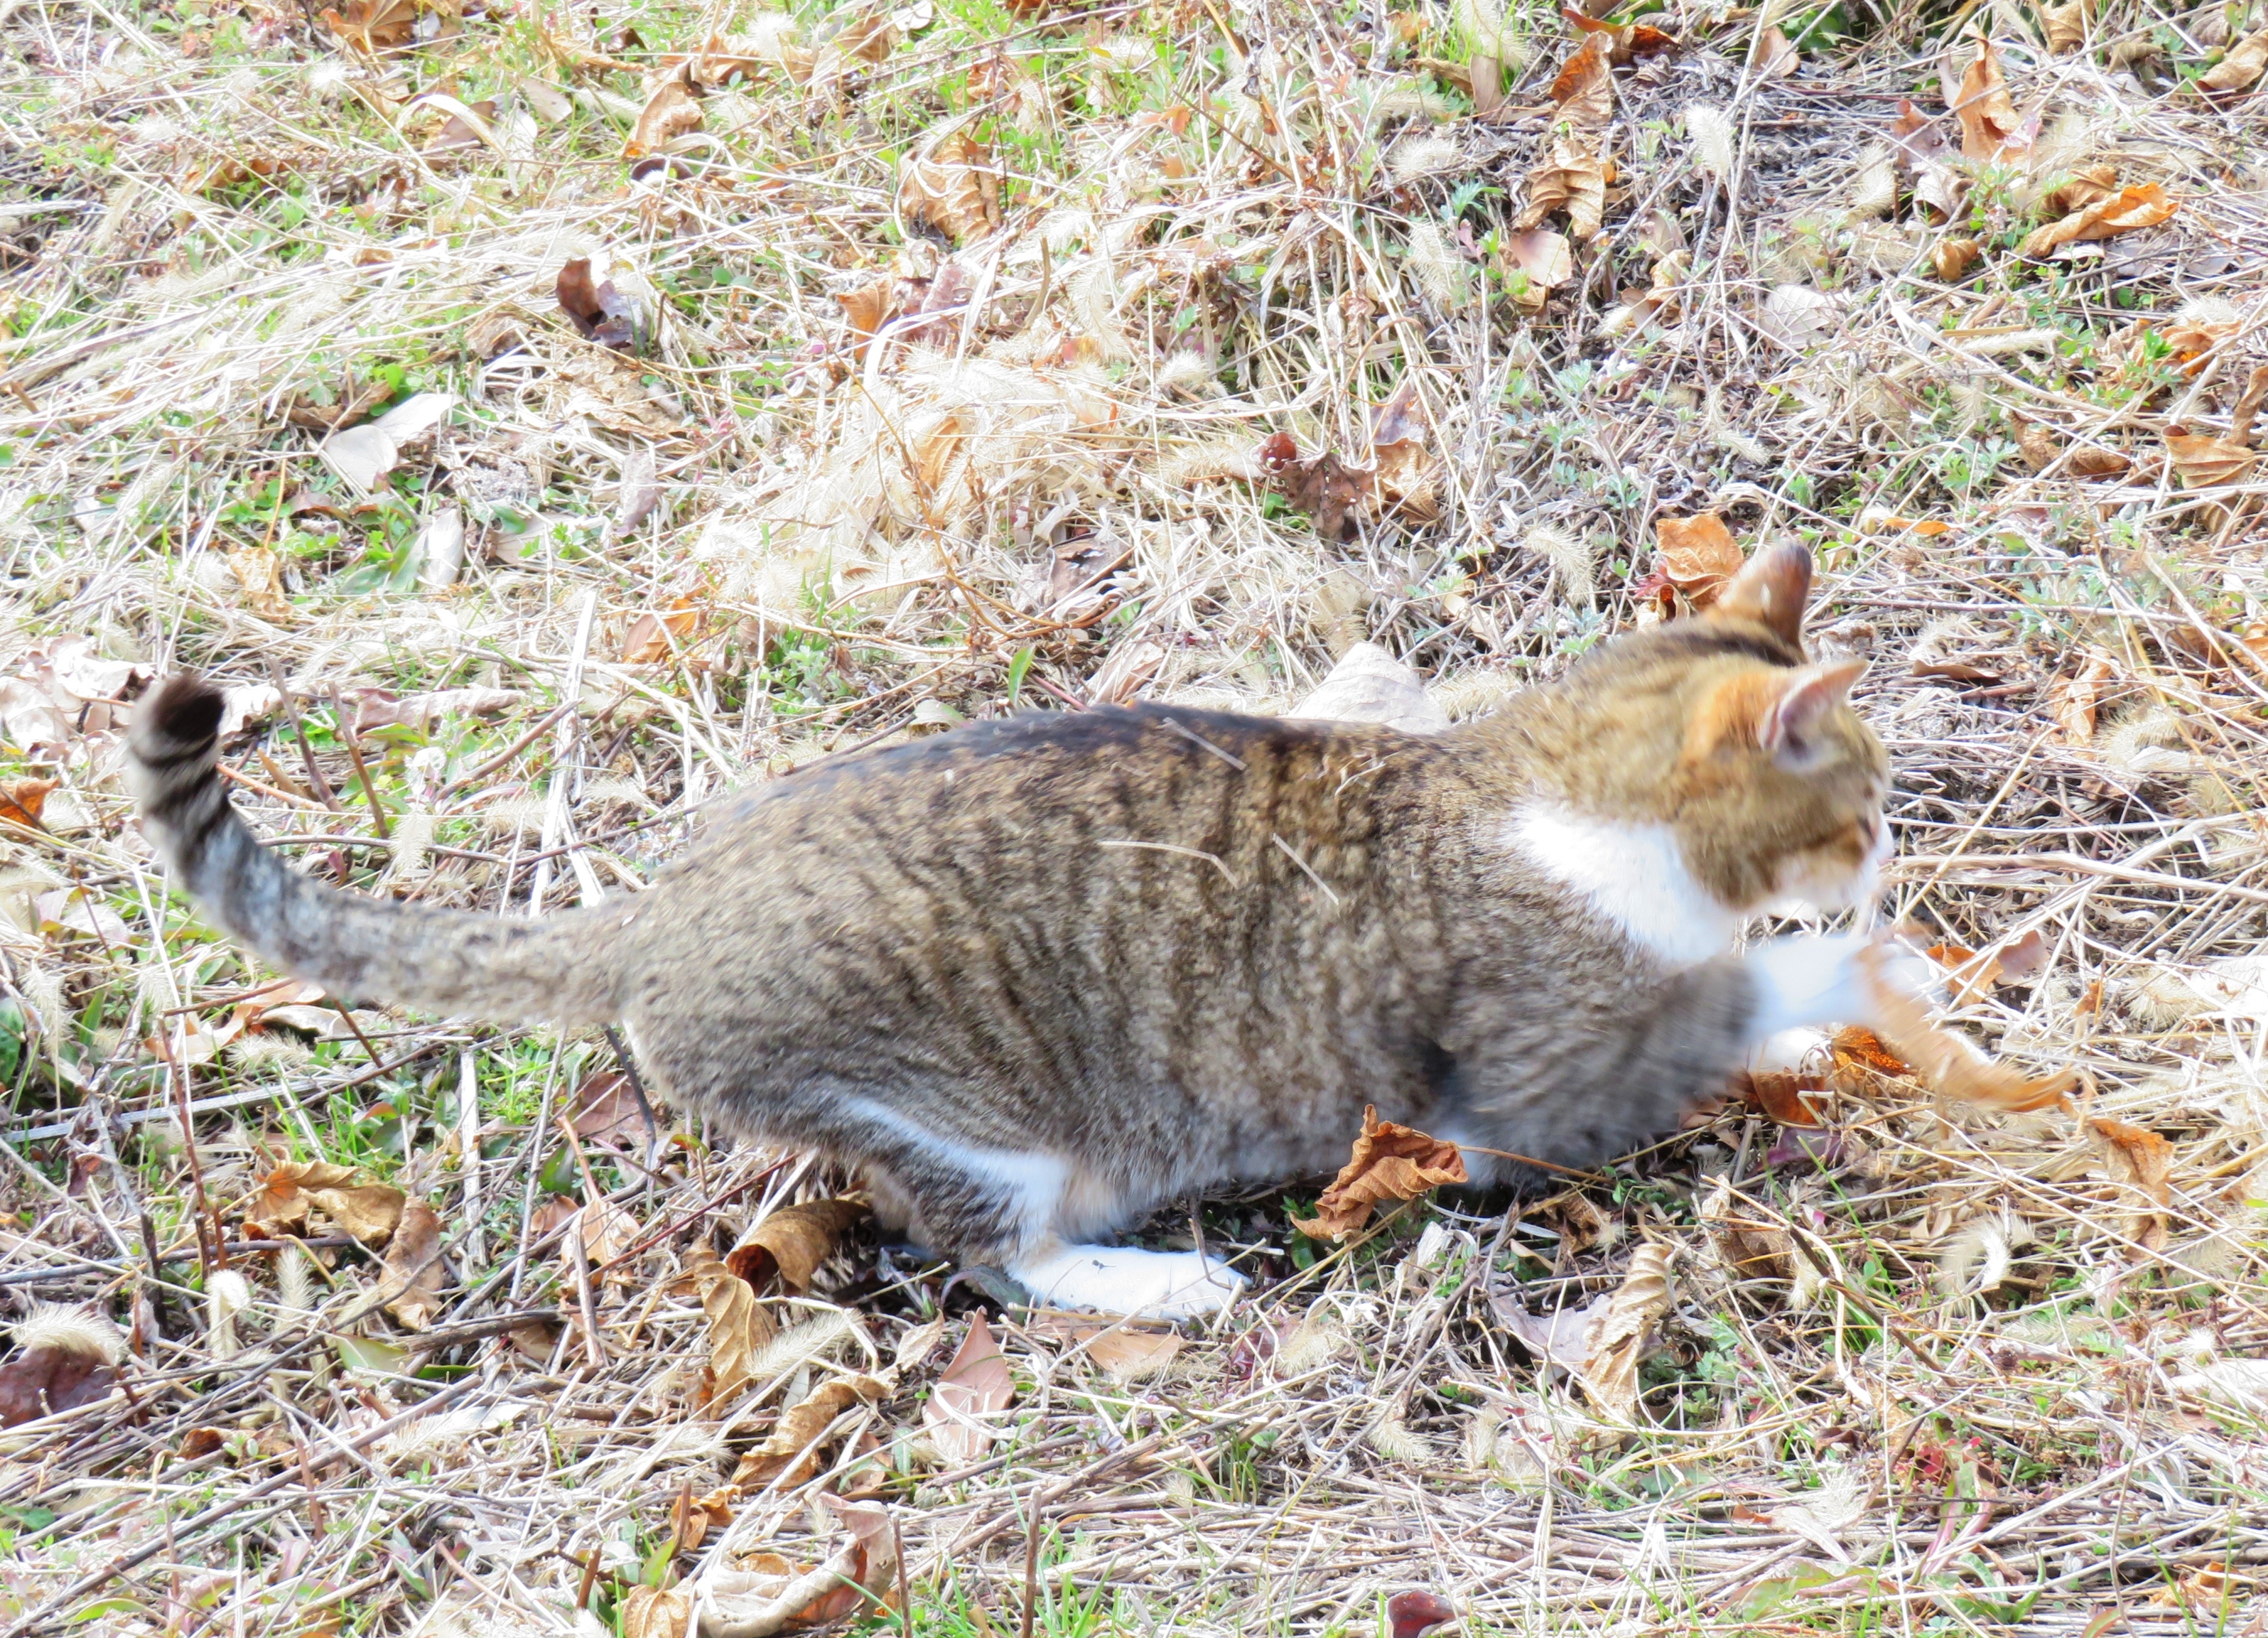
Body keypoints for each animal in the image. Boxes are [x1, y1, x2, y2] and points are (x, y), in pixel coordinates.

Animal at [132, 549, 2068, 1315]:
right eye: (1861, 813)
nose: (1891, 864)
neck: (1537, 778)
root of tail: (660, 905)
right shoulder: (1528, 1086)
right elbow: (1692, 1015)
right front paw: (1835, 973)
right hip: (967, 1115)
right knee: (998, 1256)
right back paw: (1160, 1278)